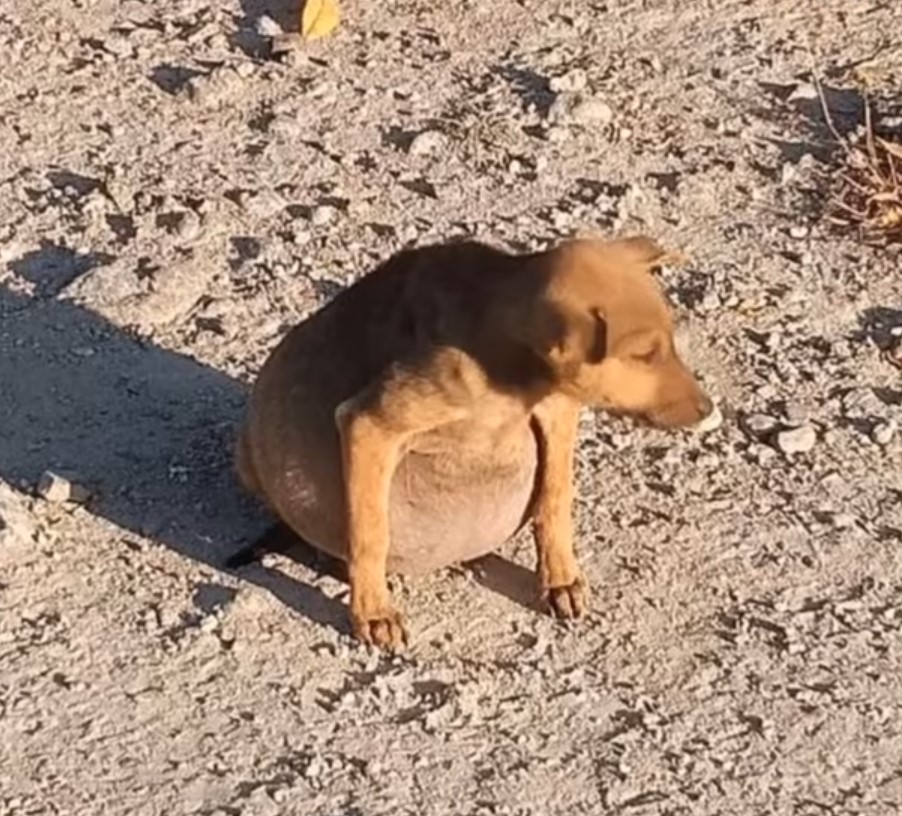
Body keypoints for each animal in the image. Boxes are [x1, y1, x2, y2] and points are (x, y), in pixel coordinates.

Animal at [237, 236, 716, 652]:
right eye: (644, 355)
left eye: (670, 344)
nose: (708, 408)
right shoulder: (368, 423)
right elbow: (370, 531)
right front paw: (373, 612)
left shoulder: (558, 411)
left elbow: (555, 499)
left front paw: (559, 579)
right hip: (251, 455)